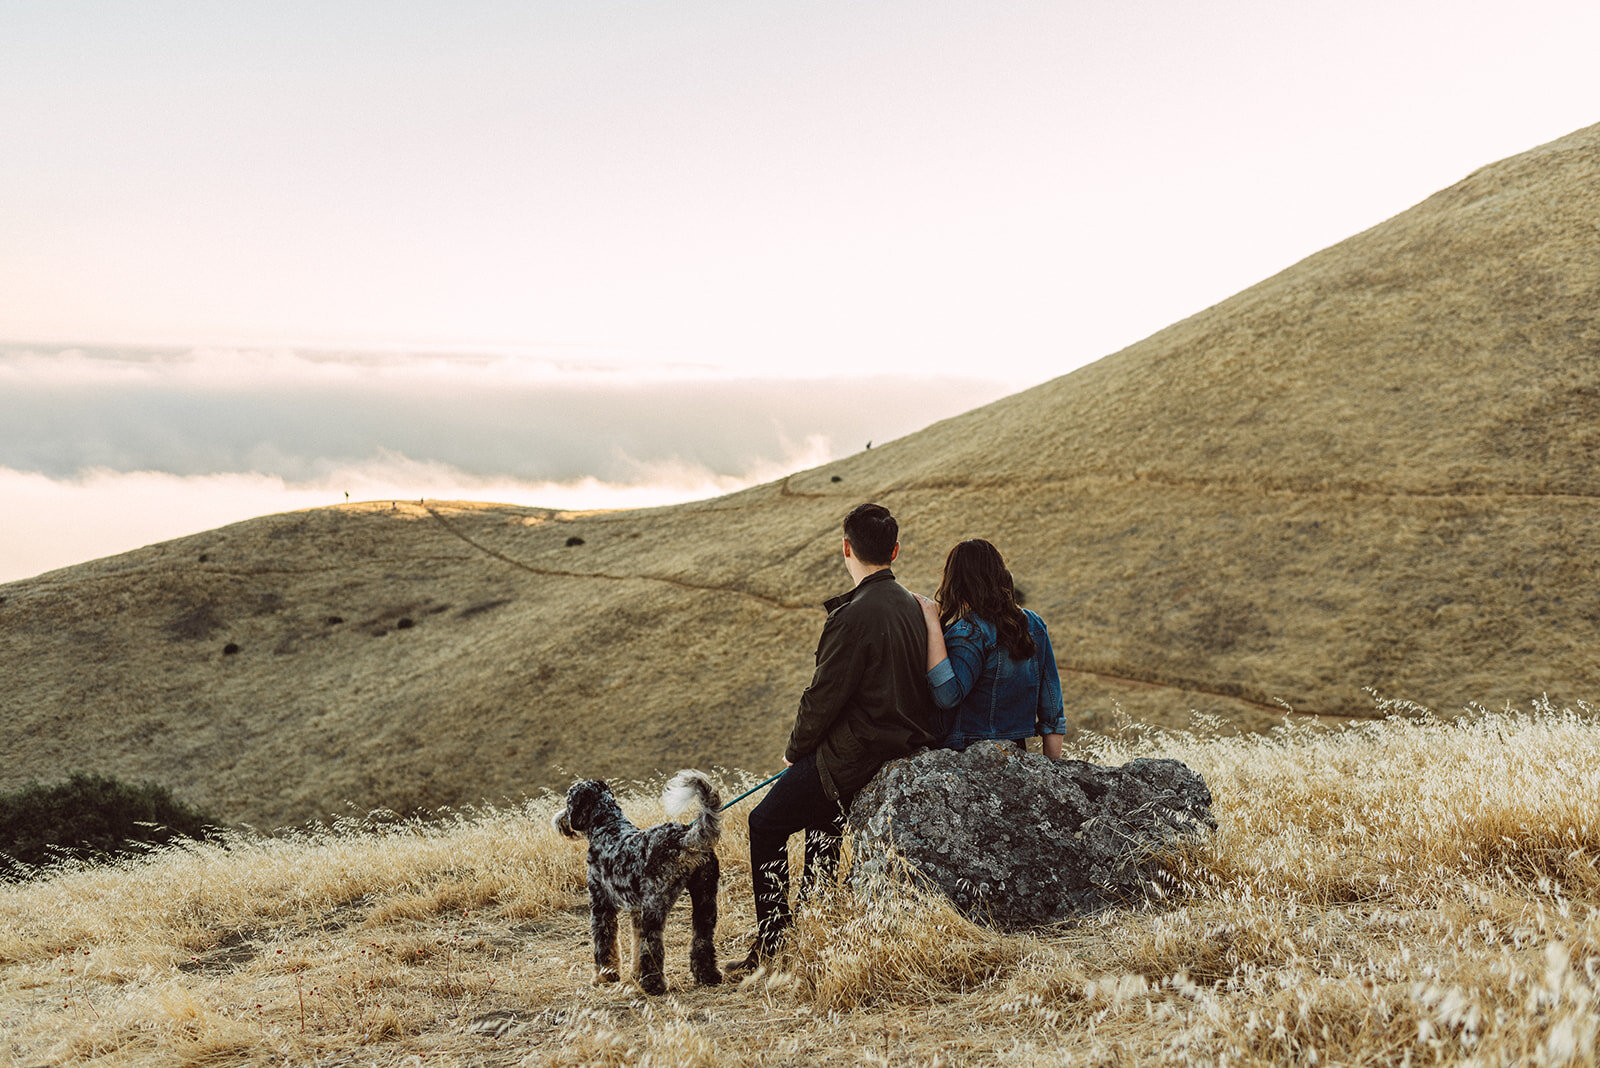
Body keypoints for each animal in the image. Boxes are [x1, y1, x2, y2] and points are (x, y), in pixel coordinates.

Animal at [553, 767, 723, 991]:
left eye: (569, 802)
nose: (560, 820)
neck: (607, 827)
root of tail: (684, 838)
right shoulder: (636, 910)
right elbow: (635, 945)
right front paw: (634, 973)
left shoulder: (601, 905)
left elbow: (605, 945)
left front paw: (604, 977)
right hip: (705, 901)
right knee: (702, 939)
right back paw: (708, 975)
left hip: (655, 906)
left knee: (652, 945)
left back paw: (652, 983)